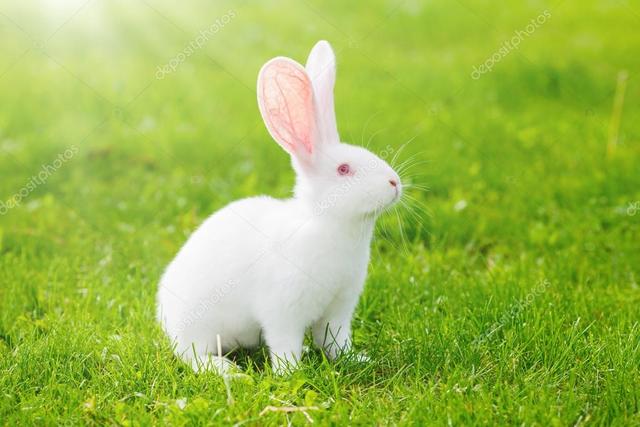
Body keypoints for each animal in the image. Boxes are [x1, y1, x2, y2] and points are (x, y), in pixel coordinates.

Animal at [157, 40, 402, 375]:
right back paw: (228, 371)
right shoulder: (282, 311)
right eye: (343, 170)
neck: (329, 224)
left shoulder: (338, 310)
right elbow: (285, 344)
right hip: (199, 328)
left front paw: (356, 359)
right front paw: (290, 373)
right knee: (191, 354)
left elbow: (335, 342)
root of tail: (165, 316)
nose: (395, 183)